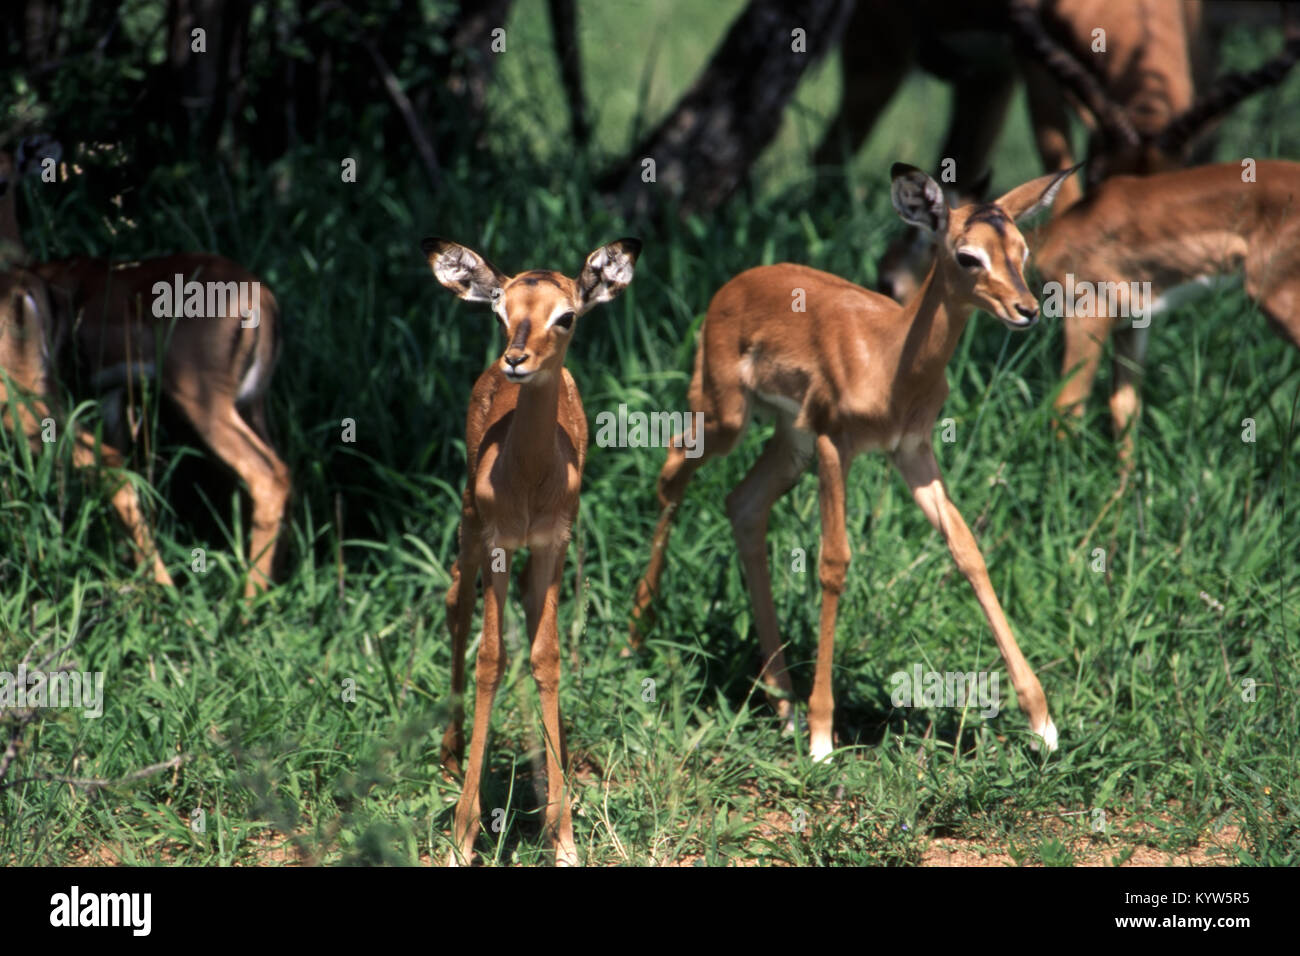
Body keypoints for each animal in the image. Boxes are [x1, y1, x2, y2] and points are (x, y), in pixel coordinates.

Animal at [1, 136, 290, 595]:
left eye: (5, 181)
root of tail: (262, 299)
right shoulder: (113, 396)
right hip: (252, 402)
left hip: (199, 400)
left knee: (267, 476)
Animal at [424, 235, 641, 867]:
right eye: (500, 311)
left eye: (566, 316)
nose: (515, 360)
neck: (528, 475)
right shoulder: (498, 541)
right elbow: (491, 660)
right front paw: (462, 836)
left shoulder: (550, 544)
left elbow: (546, 657)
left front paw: (562, 835)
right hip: (470, 528)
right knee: (457, 604)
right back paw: (449, 754)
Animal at [630, 164, 1073, 762]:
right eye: (967, 255)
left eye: (1021, 250)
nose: (1026, 310)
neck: (890, 360)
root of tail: (733, 284)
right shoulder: (833, 445)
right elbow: (833, 564)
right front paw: (823, 737)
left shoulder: (912, 452)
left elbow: (967, 552)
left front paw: (1044, 725)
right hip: (726, 418)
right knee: (673, 466)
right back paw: (638, 638)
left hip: (788, 440)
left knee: (743, 504)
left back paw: (784, 703)